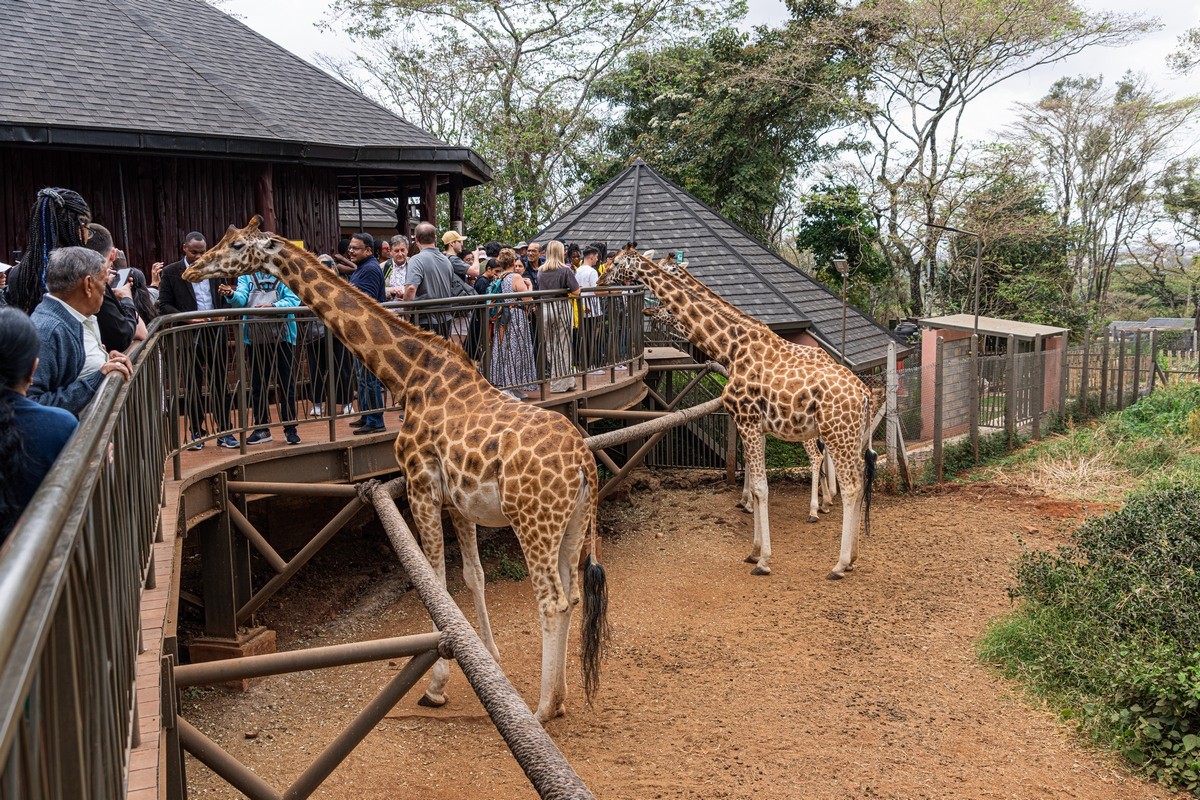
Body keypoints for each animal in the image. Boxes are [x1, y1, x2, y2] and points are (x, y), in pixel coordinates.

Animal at [183, 217, 608, 722]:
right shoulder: (457, 502)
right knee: (574, 594)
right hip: (572, 522)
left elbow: (437, 584)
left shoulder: (420, 487)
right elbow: (473, 576)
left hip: (533, 521)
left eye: (237, 245)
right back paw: (558, 700)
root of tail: (584, 462)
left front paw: (436, 686)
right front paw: (489, 659)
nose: (191, 270)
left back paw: (542, 709)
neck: (409, 377)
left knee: (552, 601)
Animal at [606, 248, 875, 579]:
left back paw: (835, 556)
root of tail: (863, 393)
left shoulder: (746, 419)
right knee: (858, 479)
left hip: (833, 433)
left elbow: (761, 486)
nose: (603, 280)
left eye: (617, 263)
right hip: (848, 436)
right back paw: (849, 551)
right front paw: (754, 549)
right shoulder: (755, 425)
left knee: (844, 479)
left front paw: (763, 559)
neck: (731, 348)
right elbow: (755, 478)